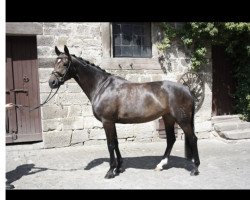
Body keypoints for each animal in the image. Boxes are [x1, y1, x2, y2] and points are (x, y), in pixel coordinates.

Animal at [48, 45, 200, 178]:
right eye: (55, 62)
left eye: (65, 63)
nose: (52, 82)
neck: (102, 86)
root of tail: (187, 89)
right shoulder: (112, 122)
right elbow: (116, 143)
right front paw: (119, 167)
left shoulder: (107, 121)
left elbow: (110, 145)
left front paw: (110, 171)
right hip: (168, 118)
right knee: (171, 139)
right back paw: (160, 165)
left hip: (182, 120)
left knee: (192, 138)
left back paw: (195, 168)